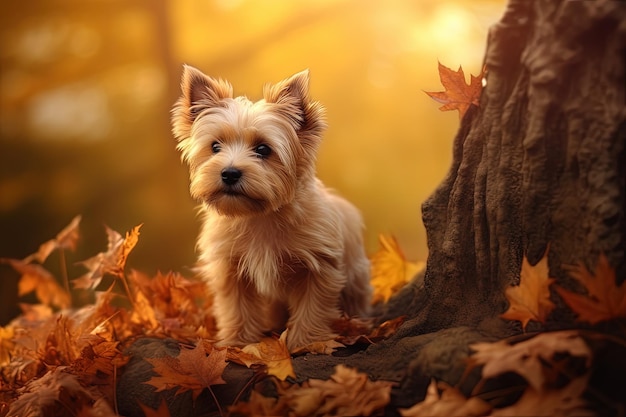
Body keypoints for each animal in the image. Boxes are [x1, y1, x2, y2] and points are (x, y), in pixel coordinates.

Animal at [169, 65, 370, 350]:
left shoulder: (319, 267)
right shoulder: (231, 268)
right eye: (215, 146)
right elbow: (237, 308)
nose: (229, 173)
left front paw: (306, 343)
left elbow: (313, 307)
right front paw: (238, 343)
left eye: (263, 149)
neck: (258, 216)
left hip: (355, 276)